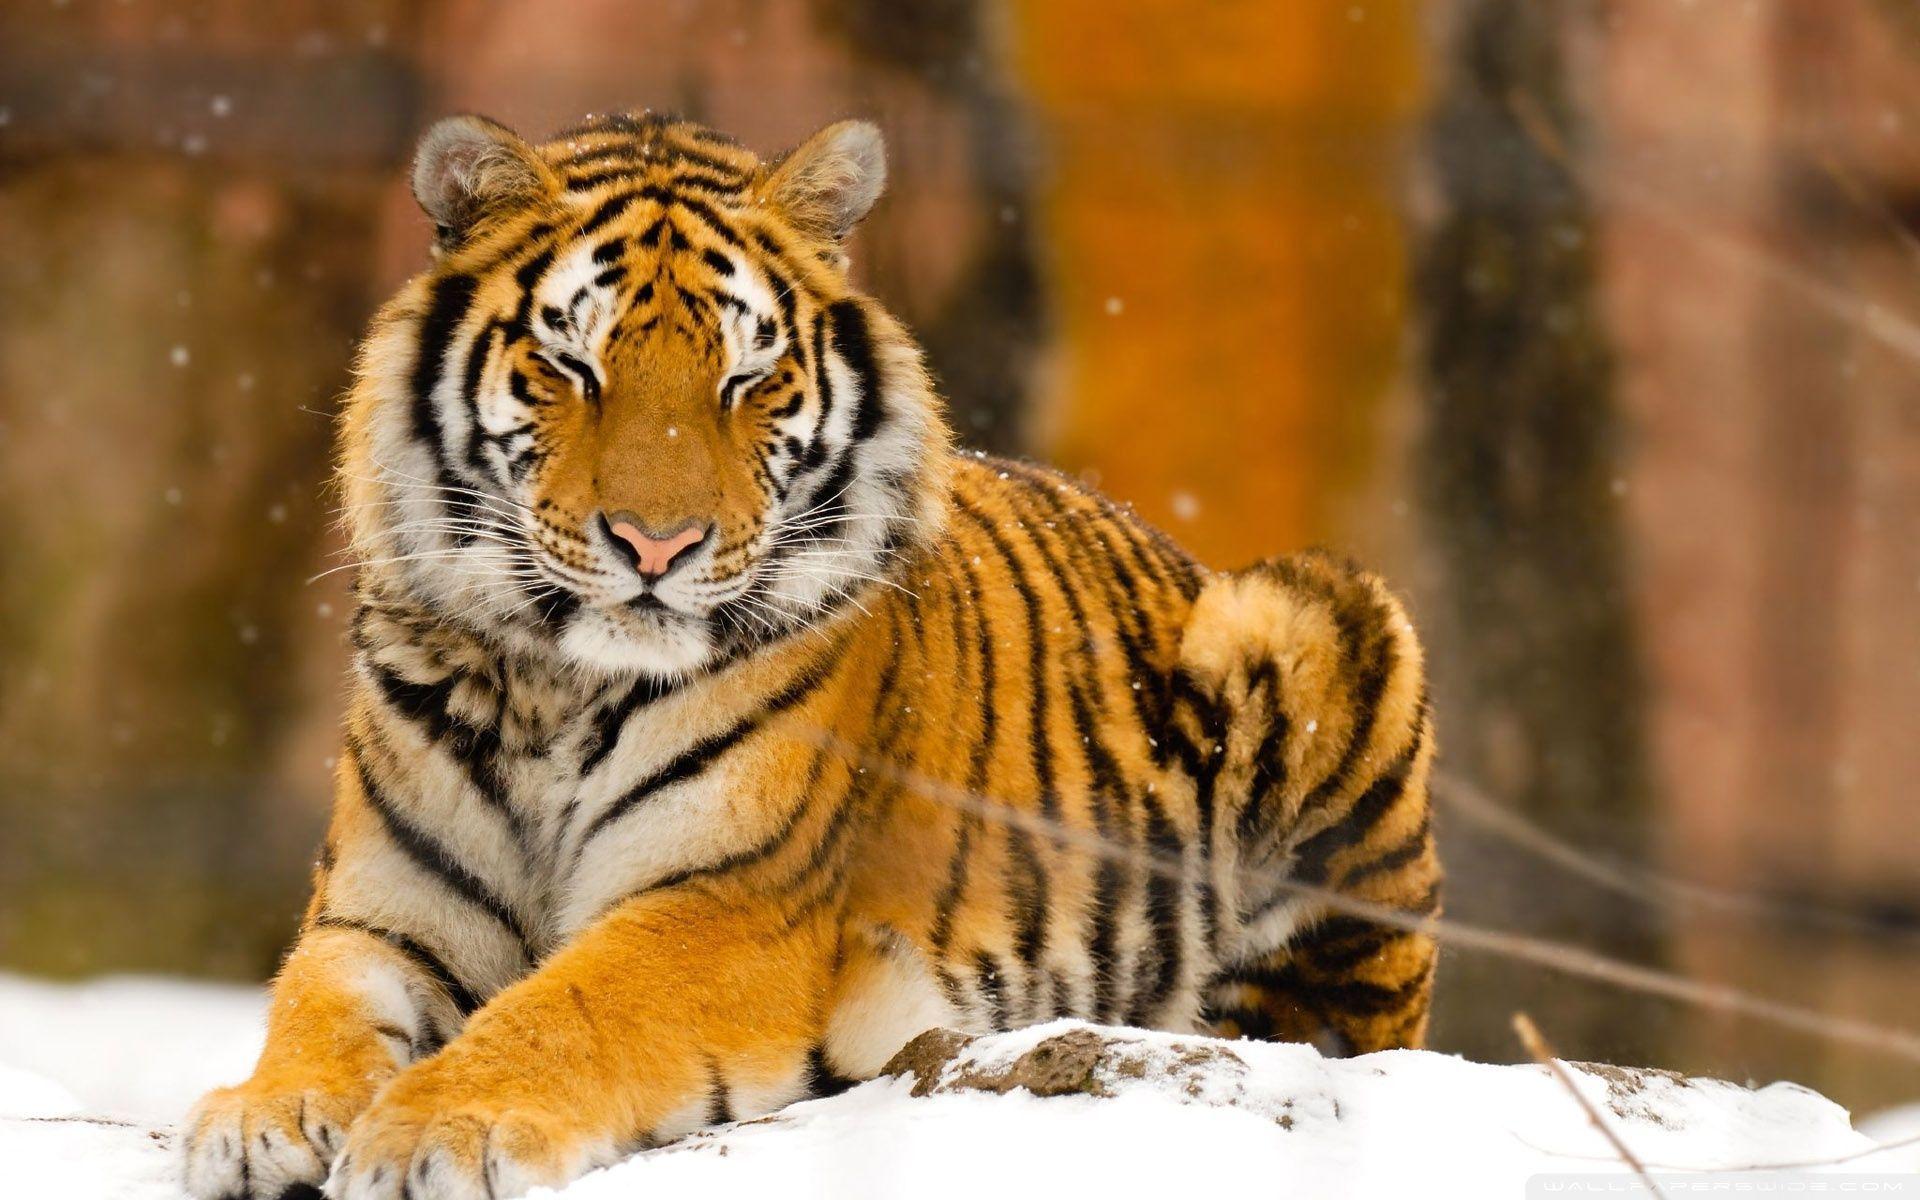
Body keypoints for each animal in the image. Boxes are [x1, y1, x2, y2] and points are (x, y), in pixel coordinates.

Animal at [180, 111, 1440, 1200]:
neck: (554, 683)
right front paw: (262, 1116)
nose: (656, 545)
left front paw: (439, 1128)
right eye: (572, 368)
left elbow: (564, 1011)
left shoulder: (728, 905)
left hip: (1315, 625)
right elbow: (313, 1003)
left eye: (747, 378)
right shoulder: (382, 913)